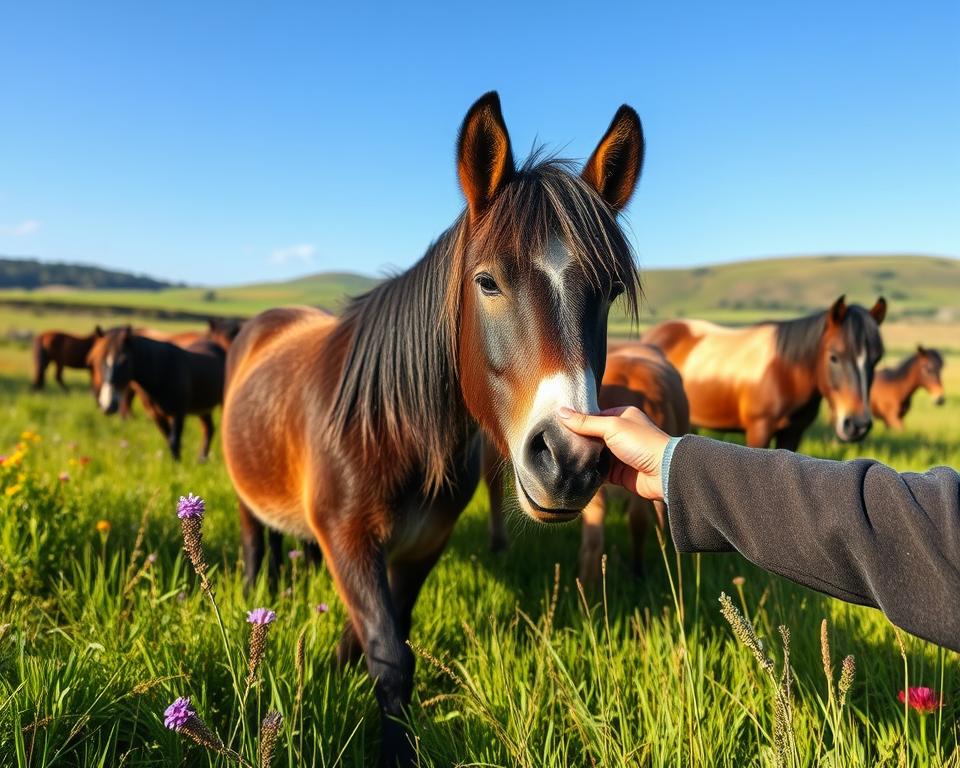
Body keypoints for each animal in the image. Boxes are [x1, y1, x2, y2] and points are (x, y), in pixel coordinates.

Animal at [88, 326, 226, 461]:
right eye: (97, 361)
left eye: (124, 361)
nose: (108, 405)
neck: (161, 372)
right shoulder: (156, 415)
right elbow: (168, 438)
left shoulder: (178, 413)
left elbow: (174, 441)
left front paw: (177, 465)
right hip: (203, 408)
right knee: (208, 429)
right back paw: (202, 459)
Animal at [221, 91, 645, 766]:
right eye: (488, 281)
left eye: (606, 292)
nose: (569, 461)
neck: (392, 430)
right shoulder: (349, 539)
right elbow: (392, 658)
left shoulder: (421, 547)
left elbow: (388, 636)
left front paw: (339, 671)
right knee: (253, 541)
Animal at [641, 296, 886, 448]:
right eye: (834, 357)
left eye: (876, 359)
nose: (857, 425)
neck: (785, 373)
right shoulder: (760, 429)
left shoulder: (793, 433)